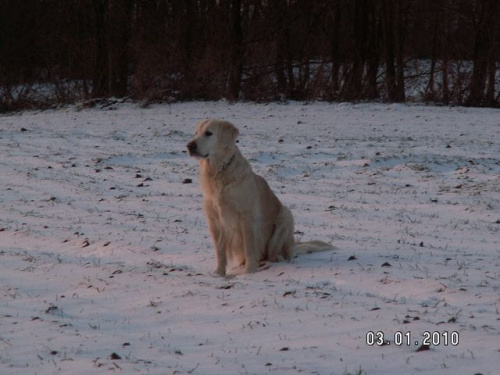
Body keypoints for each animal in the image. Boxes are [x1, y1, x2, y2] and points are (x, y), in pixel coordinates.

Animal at [186, 120, 334, 276]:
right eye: (196, 133)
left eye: (209, 133)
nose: (189, 146)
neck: (219, 171)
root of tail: (295, 245)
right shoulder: (214, 219)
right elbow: (220, 251)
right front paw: (219, 273)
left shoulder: (246, 217)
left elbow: (250, 247)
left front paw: (249, 272)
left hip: (285, 215)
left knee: (277, 254)